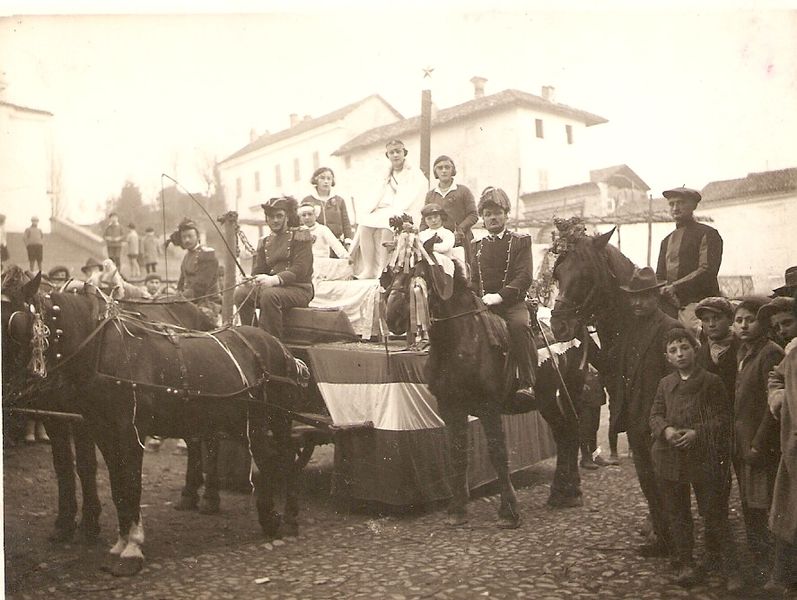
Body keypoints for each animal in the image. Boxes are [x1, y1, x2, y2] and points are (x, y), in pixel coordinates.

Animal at [5, 276, 304, 576]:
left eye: (14, 322)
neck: (101, 349)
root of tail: (282, 348)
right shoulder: (102, 431)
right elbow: (116, 485)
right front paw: (119, 541)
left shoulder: (130, 431)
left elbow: (131, 483)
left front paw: (132, 549)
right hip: (242, 422)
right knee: (267, 459)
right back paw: (266, 516)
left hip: (277, 420)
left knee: (284, 459)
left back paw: (287, 519)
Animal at [382, 260, 588, 528]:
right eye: (393, 272)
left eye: (418, 274)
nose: (392, 316)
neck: (461, 340)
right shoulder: (451, 408)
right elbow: (458, 454)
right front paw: (457, 509)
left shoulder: (490, 409)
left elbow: (498, 454)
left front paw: (509, 511)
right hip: (547, 398)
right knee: (564, 433)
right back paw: (560, 493)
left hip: (570, 388)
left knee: (573, 430)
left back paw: (572, 492)